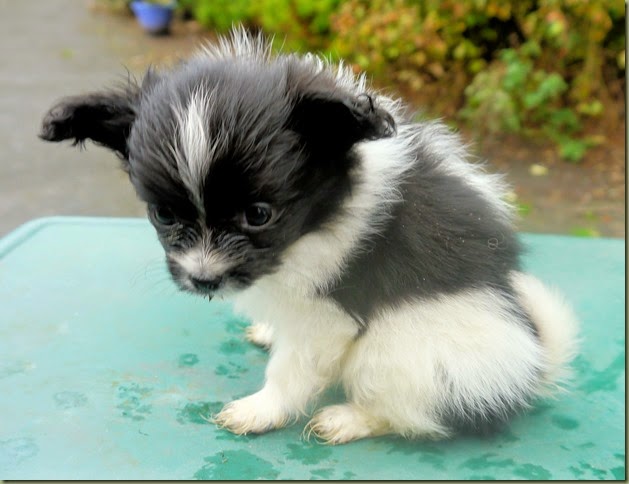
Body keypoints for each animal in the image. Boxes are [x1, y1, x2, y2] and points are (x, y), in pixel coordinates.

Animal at [40, 28, 580, 444]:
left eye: (259, 215)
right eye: (163, 215)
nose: (204, 280)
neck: (317, 217)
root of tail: (529, 369)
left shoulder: (327, 317)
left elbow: (292, 368)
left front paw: (261, 411)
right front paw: (269, 332)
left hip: (397, 348)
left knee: (413, 414)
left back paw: (349, 420)